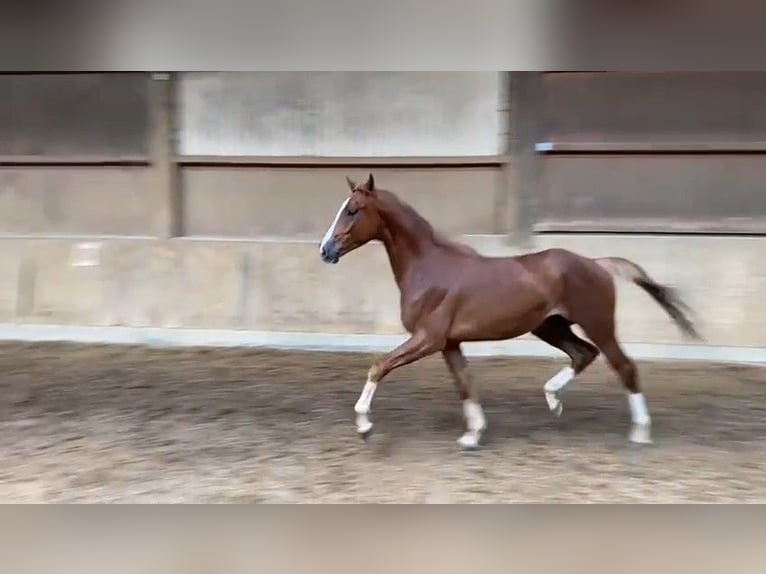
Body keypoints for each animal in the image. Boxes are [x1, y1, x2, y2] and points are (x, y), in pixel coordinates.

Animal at [319, 173, 700, 450]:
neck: (429, 268)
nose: (325, 250)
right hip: (550, 327)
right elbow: (464, 383)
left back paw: (640, 433)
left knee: (624, 367)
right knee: (583, 354)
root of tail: (598, 264)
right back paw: (553, 400)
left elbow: (378, 366)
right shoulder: (448, 343)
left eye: (352, 210)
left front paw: (364, 426)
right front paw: (472, 435)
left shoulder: (428, 338)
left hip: (597, 324)